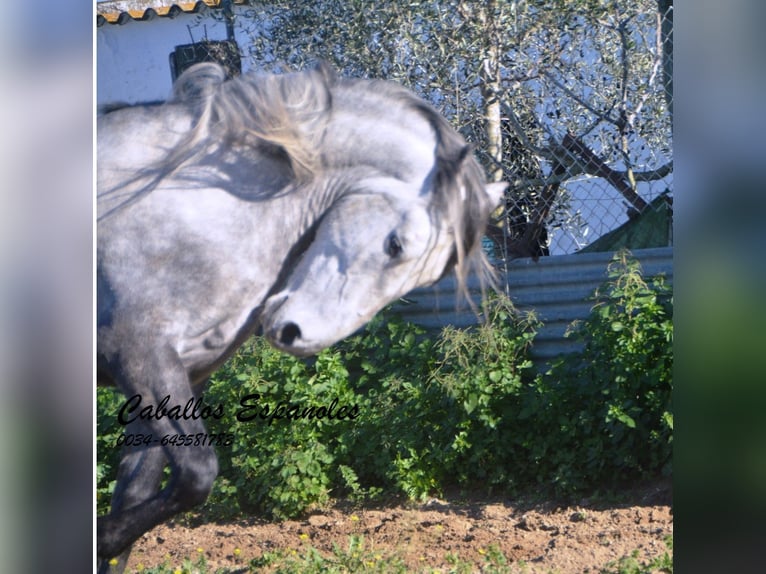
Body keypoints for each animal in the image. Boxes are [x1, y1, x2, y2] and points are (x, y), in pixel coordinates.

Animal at [96, 64, 508, 572]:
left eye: (433, 274)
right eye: (396, 245)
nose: (297, 334)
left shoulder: (176, 379)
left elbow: (143, 498)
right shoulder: (139, 354)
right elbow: (197, 475)